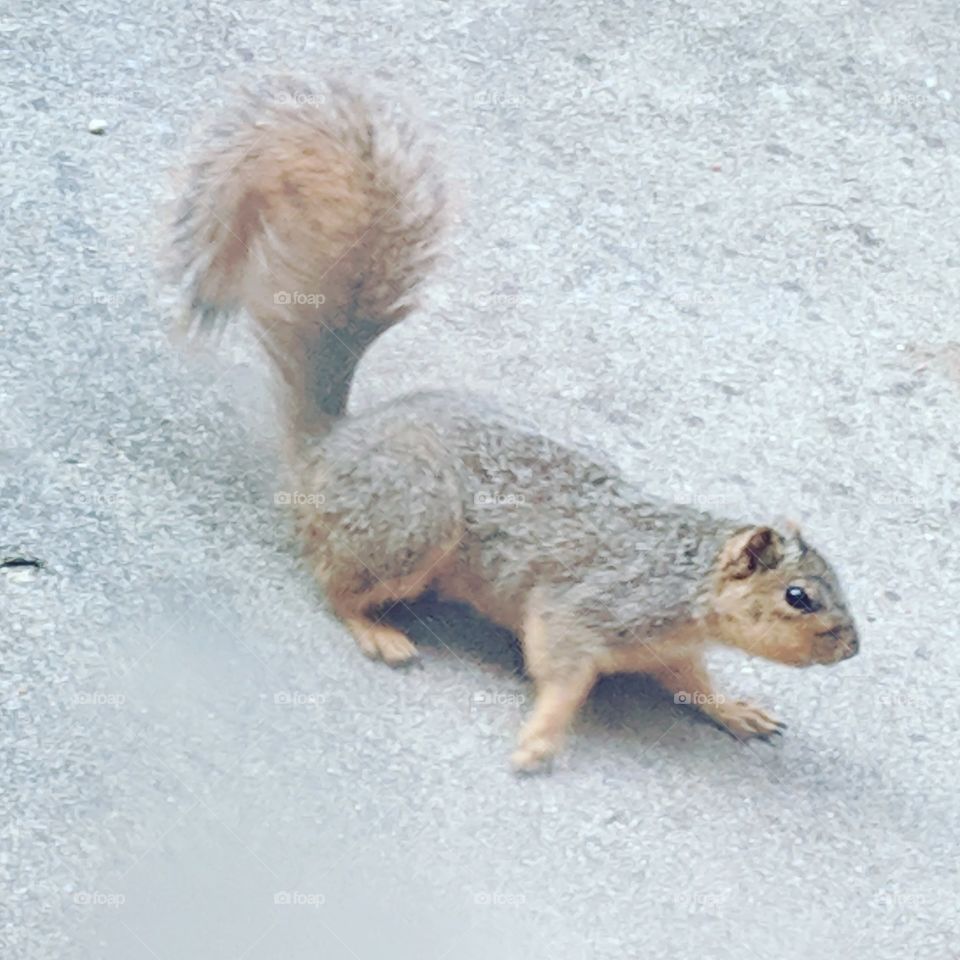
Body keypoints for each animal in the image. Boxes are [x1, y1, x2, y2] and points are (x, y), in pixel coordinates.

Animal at [168, 76, 860, 772]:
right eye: (799, 596)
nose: (850, 646)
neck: (685, 584)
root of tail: (328, 447)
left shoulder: (669, 647)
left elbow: (693, 683)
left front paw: (735, 707)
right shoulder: (587, 608)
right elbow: (563, 671)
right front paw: (541, 739)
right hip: (411, 521)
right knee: (334, 583)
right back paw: (376, 630)